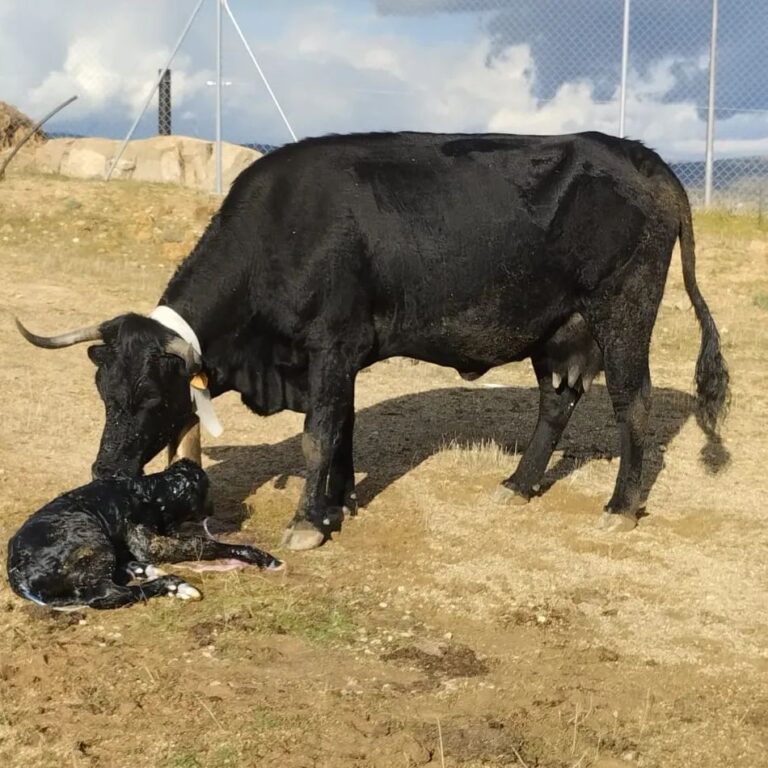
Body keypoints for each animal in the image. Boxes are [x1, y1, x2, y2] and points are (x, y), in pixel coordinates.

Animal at [6, 460, 282, 608]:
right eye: (206, 490)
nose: (213, 508)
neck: (151, 493)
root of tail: (16, 571)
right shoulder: (148, 542)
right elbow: (204, 543)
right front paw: (261, 556)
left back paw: (147, 572)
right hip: (92, 539)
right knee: (105, 594)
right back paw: (172, 584)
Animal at [16, 134, 728, 552]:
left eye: (152, 397)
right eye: (104, 390)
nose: (104, 472)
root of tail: (641, 157)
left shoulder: (332, 346)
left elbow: (319, 434)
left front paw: (308, 522)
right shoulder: (340, 360)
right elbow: (343, 430)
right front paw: (336, 503)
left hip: (623, 312)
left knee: (632, 404)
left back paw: (621, 506)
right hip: (558, 330)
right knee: (556, 402)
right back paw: (519, 484)